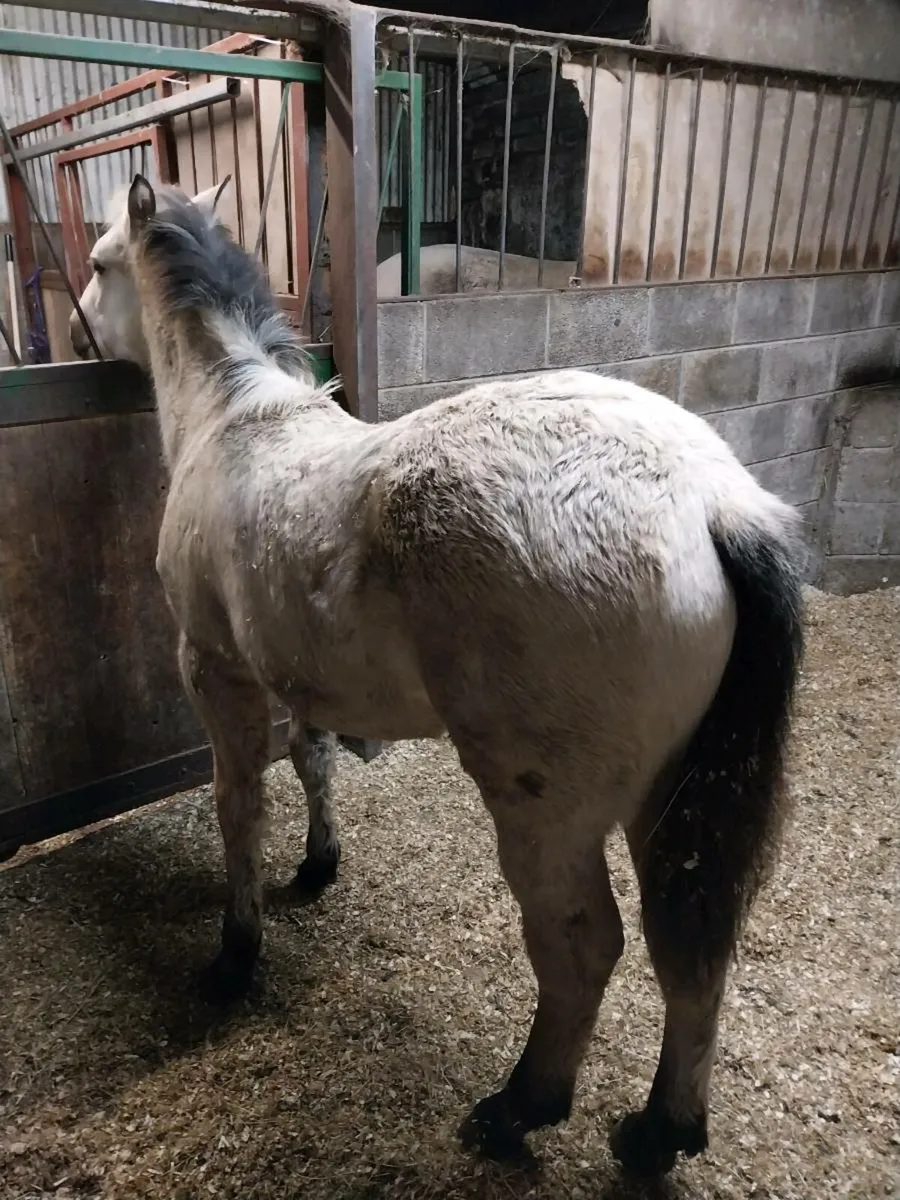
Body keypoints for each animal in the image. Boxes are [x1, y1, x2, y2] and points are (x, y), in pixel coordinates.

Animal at [68, 174, 804, 1178]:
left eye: (101, 260)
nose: (74, 337)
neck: (233, 419)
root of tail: (712, 500)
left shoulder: (216, 673)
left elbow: (237, 809)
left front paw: (235, 954)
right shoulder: (296, 677)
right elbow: (314, 764)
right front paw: (317, 867)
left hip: (547, 814)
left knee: (586, 948)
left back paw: (518, 1108)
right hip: (672, 802)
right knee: (689, 954)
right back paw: (659, 1132)